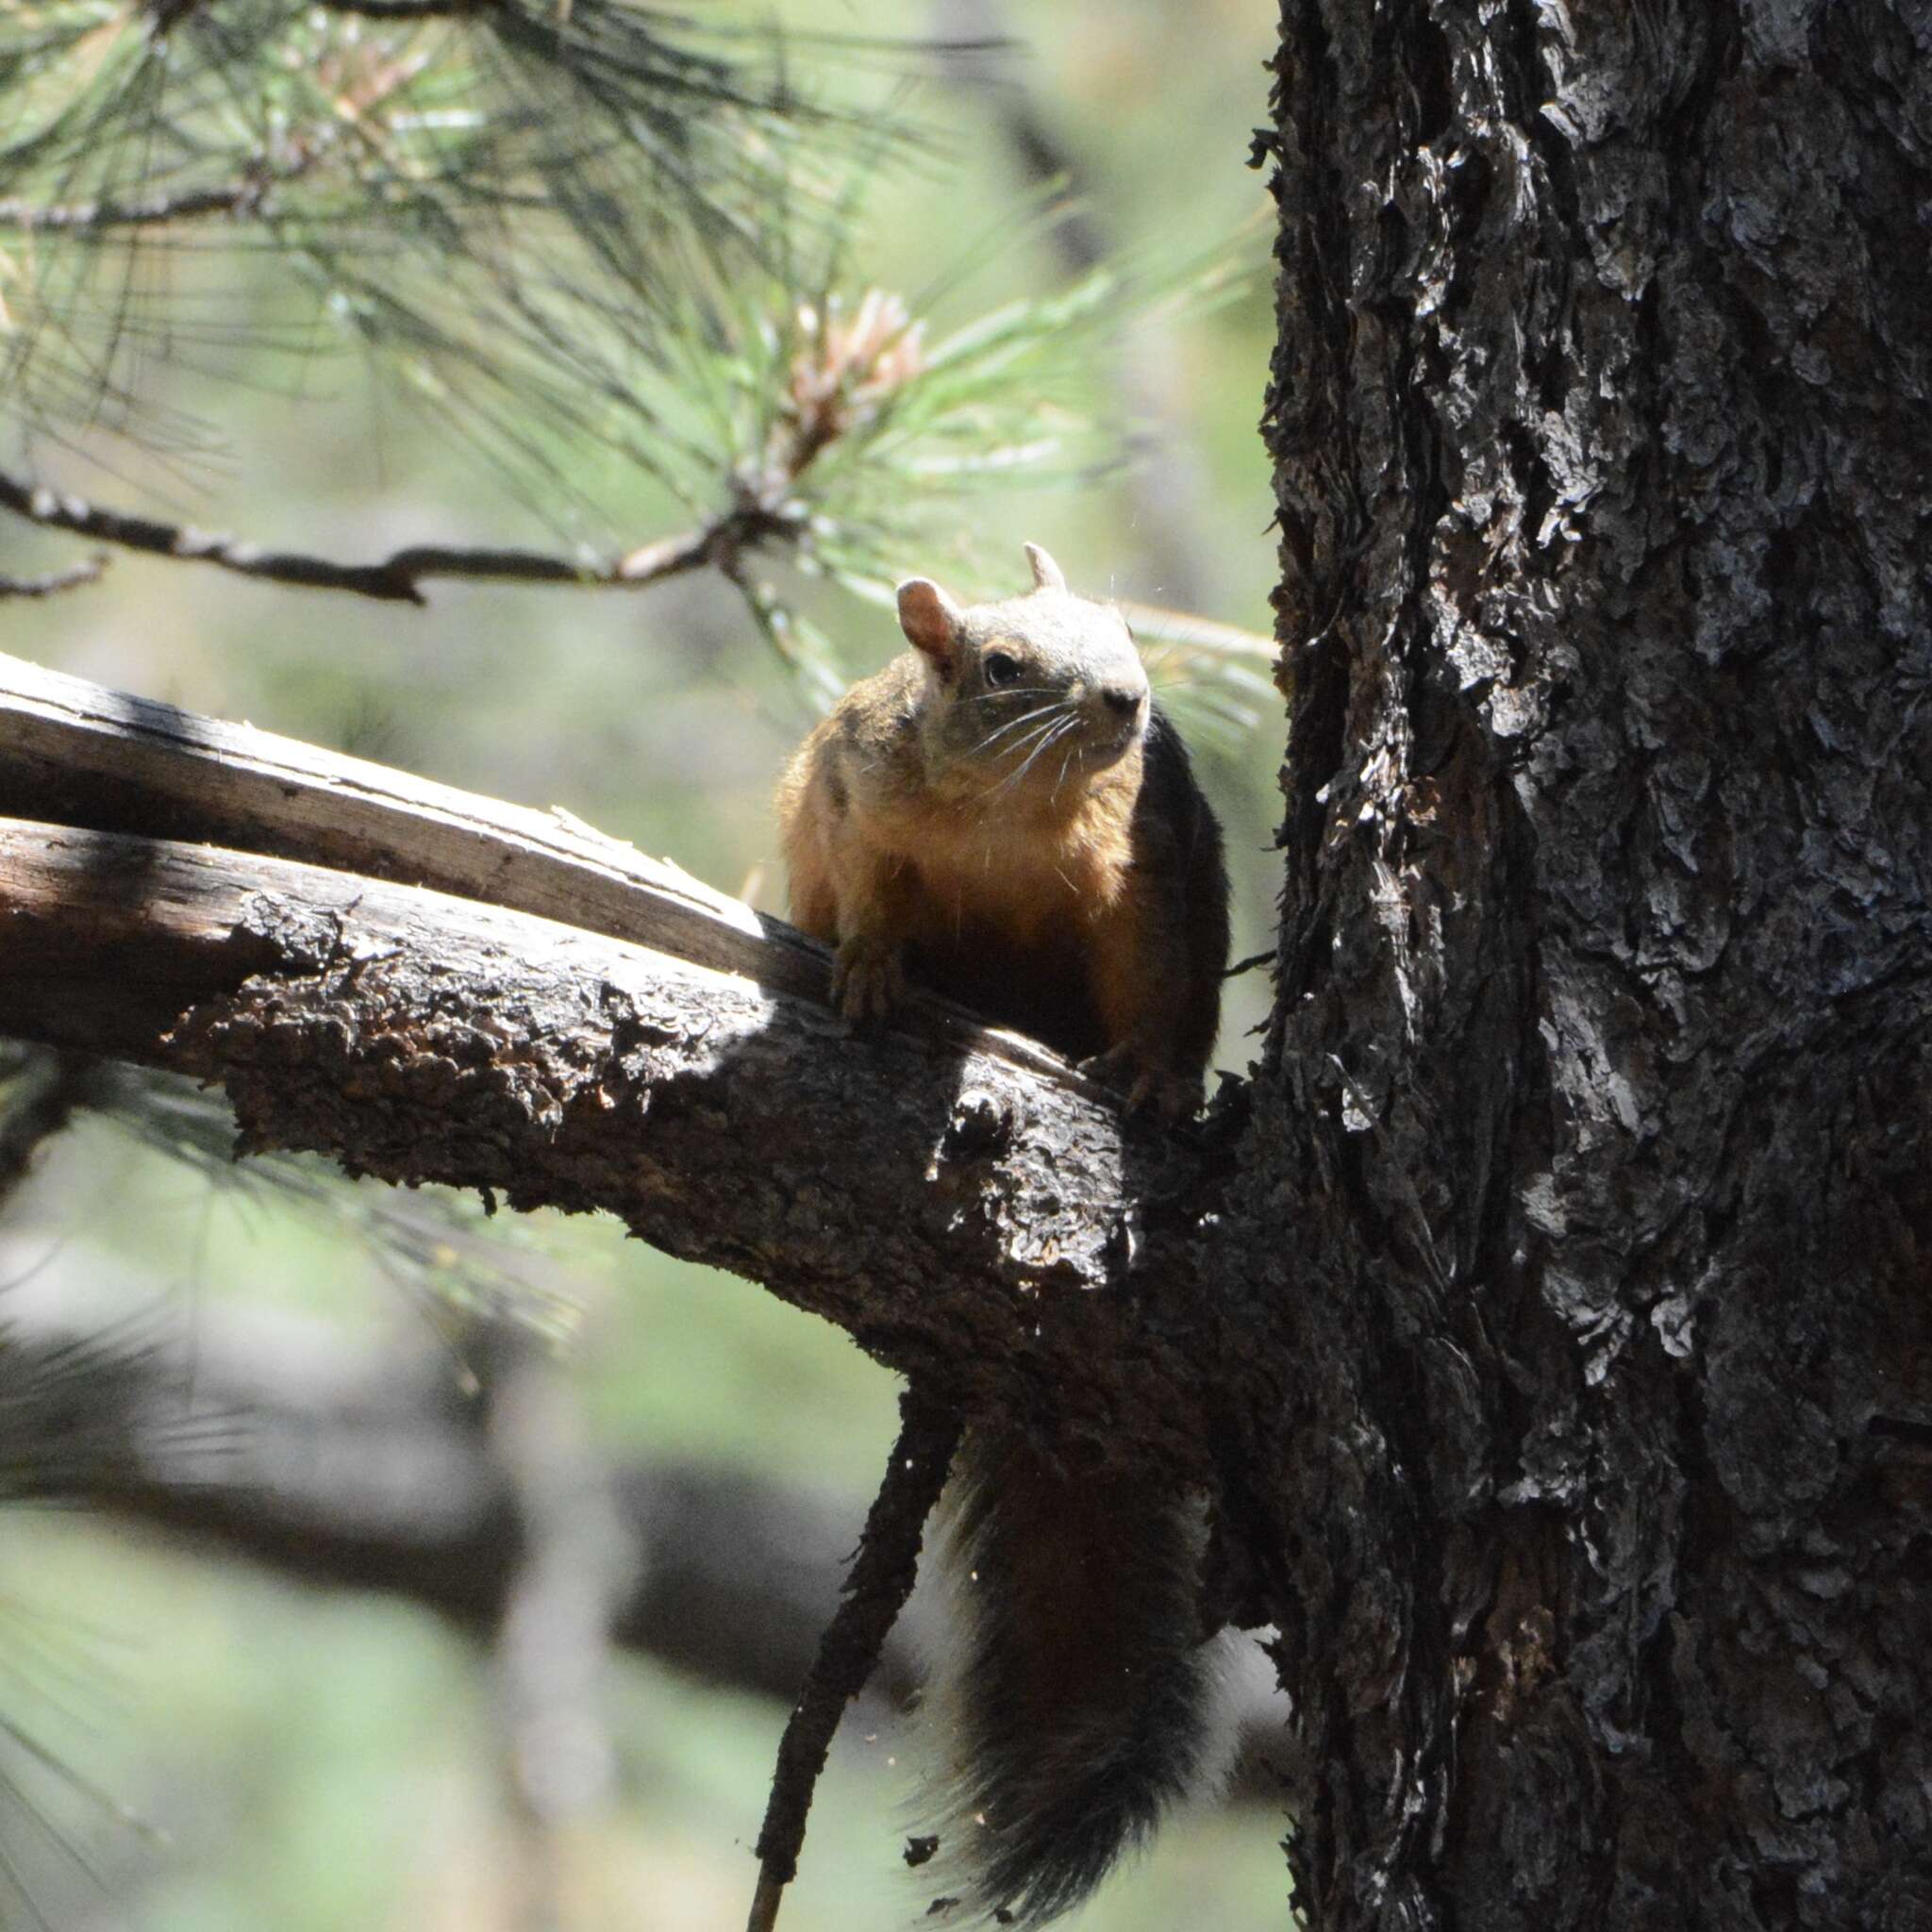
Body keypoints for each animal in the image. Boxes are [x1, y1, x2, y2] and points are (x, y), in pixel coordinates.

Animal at [776, 541, 1228, 1916]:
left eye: (1124, 628)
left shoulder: (1148, 876)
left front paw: (1150, 1075)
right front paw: (871, 970)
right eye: (1003, 665)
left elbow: (1153, 984)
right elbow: (871, 898)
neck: (1013, 808)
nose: (1130, 701)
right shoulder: (860, 806)